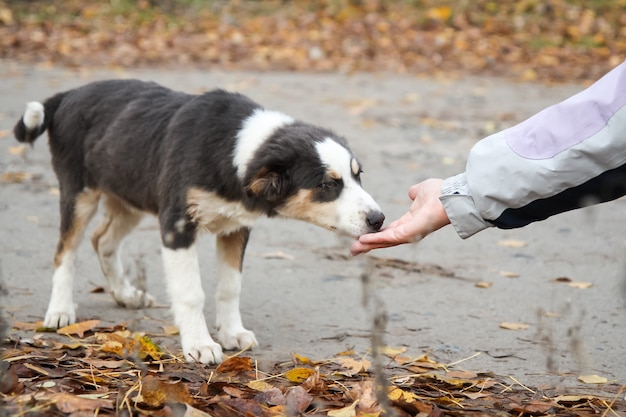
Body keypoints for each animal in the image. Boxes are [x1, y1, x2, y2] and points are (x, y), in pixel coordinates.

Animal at [13, 79, 386, 364]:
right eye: (327, 184)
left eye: (358, 175)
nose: (378, 219)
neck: (232, 150)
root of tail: (67, 95)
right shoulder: (177, 226)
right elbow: (192, 293)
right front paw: (200, 344)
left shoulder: (237, 227)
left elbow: (229, 286)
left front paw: (232, 333)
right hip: (79, 193)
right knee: (65, 251)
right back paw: (60, 311)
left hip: (129, 194)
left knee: (102, 239)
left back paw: (125, 294)